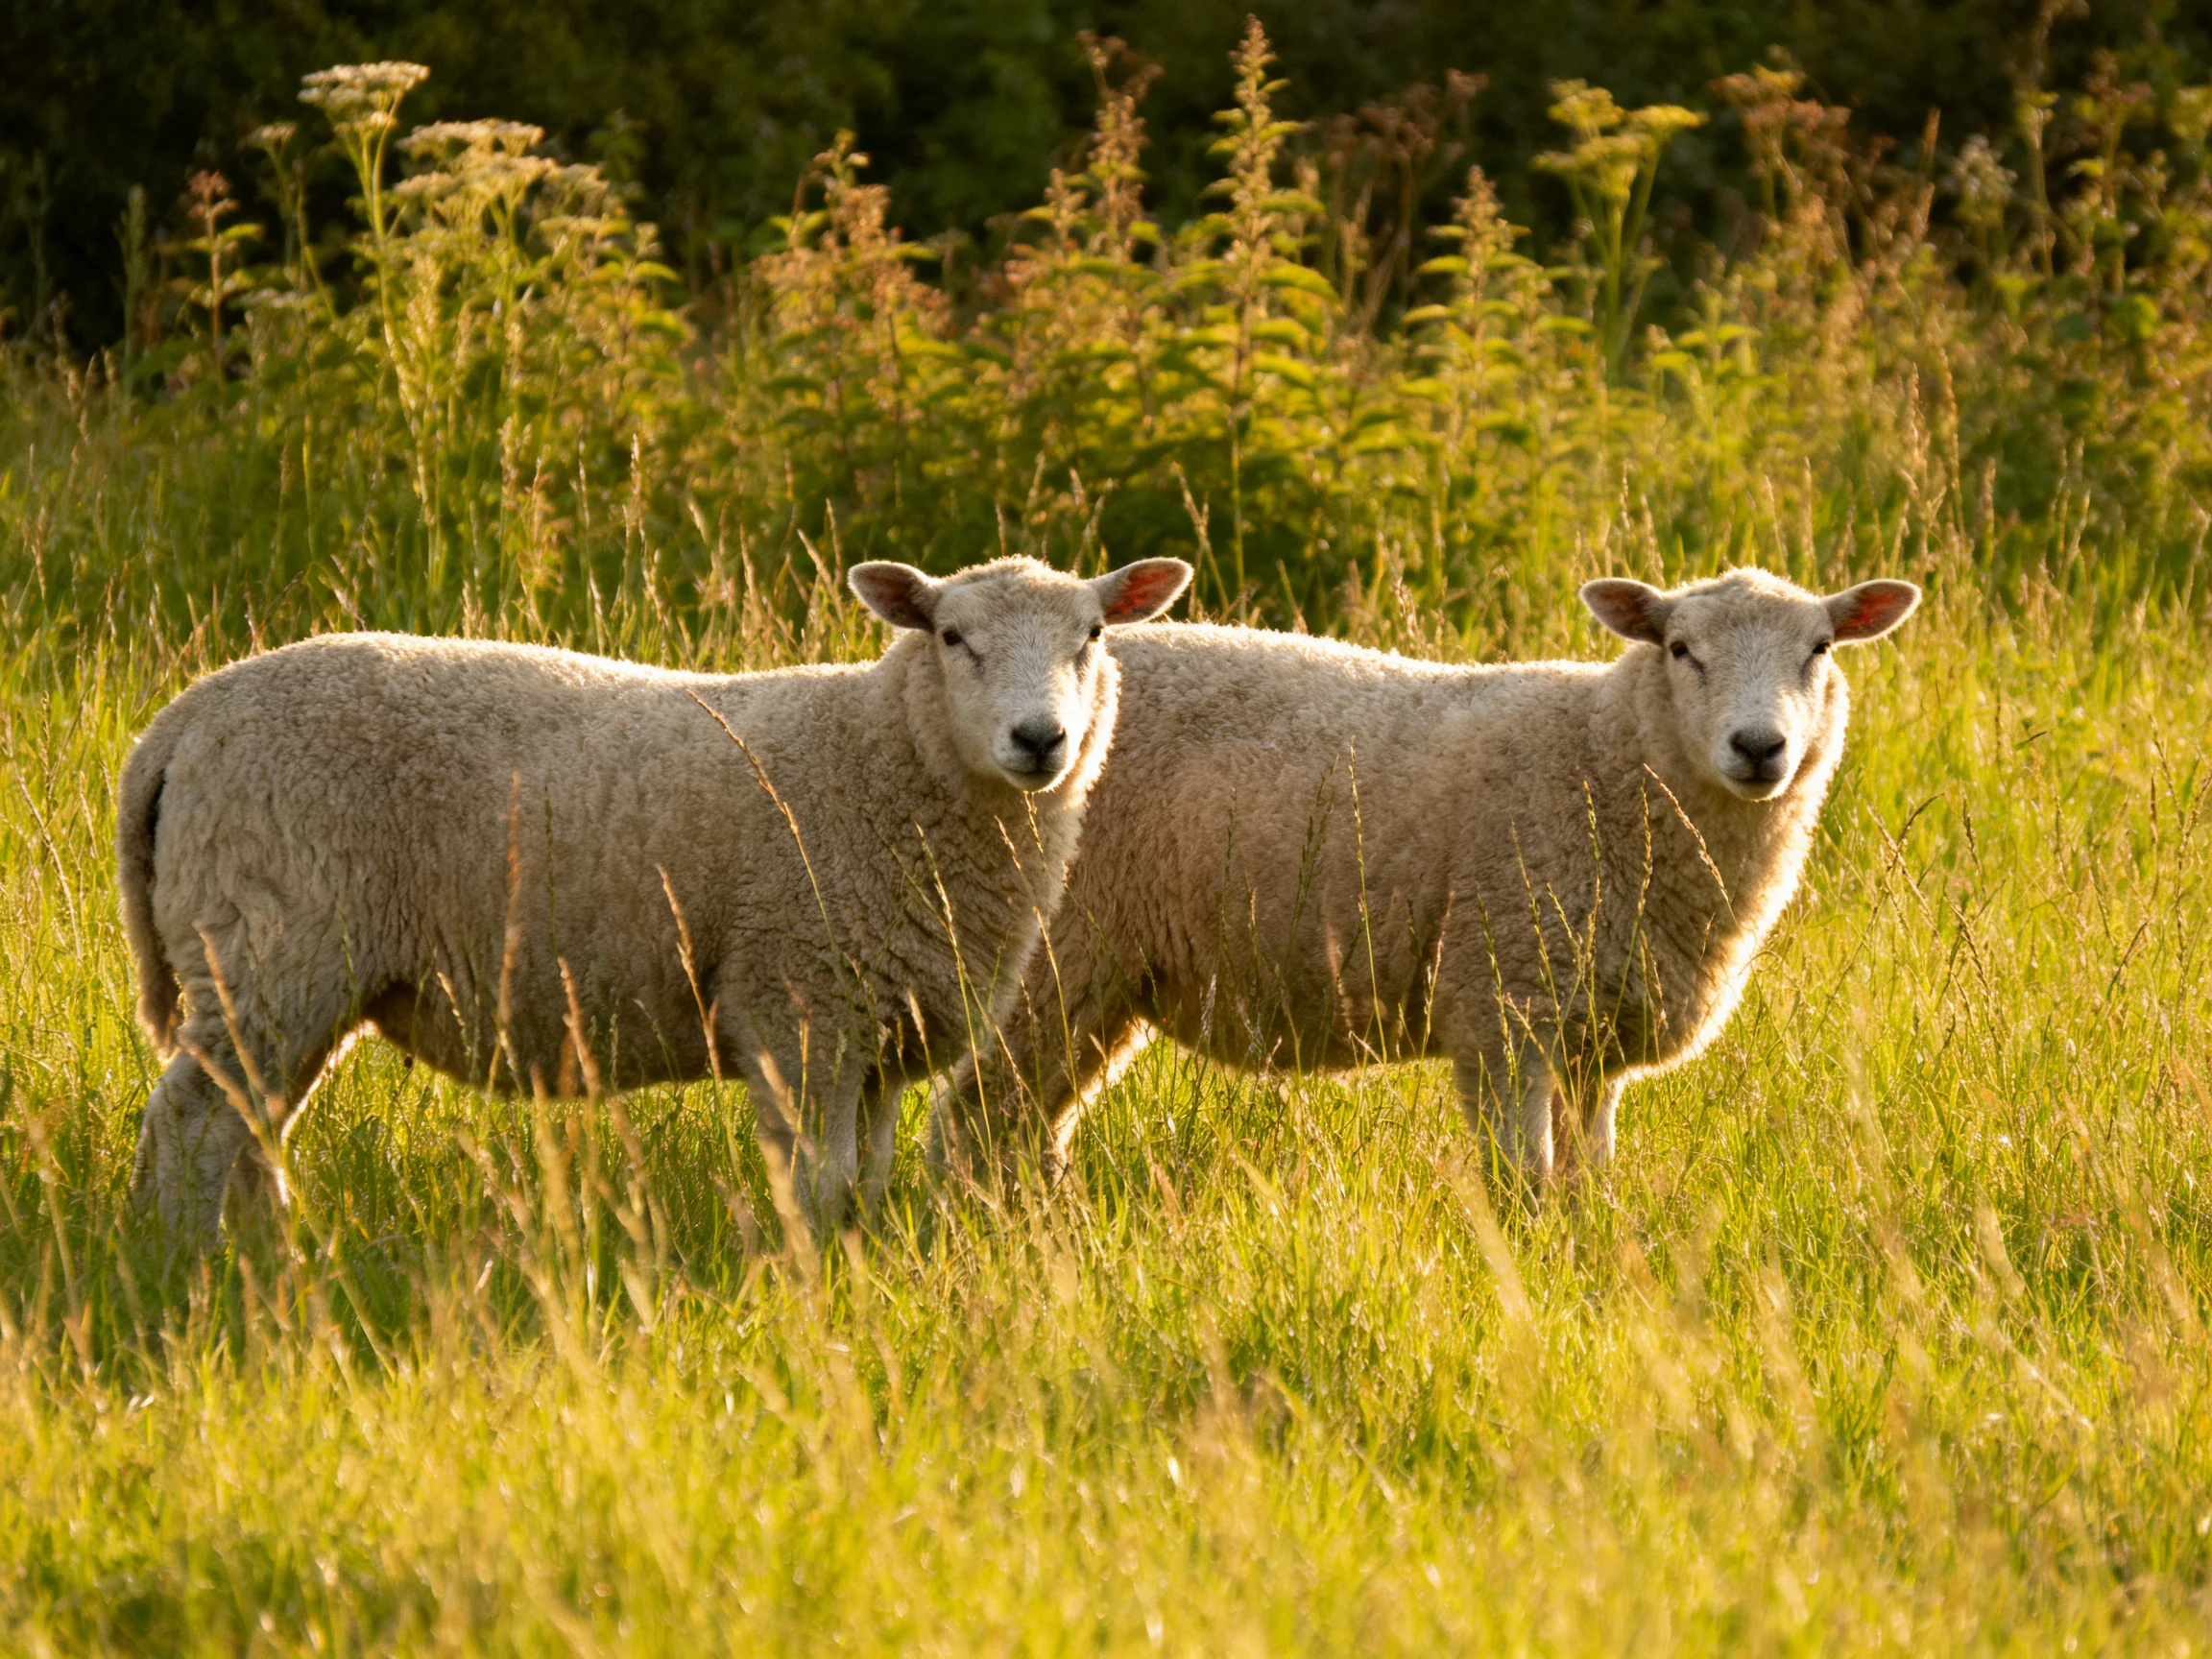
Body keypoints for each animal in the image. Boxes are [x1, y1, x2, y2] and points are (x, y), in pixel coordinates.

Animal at [117, 554, 1193, 1246]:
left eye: (1094, 636)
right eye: (951, 636)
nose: (1040, 740)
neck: (884, 756)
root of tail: (179, 724)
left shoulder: (880, 1030)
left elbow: (867, 1182)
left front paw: (862, 1266)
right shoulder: (799, 1001)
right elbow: (818, 1182)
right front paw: (812, 1282)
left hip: (289, 967)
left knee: (250, 1123)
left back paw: (267, 1252)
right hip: (273, 941)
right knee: (192, 1123)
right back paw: (187, 1264)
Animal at [937, 567, 1919, 1186]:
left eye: (1821, 649)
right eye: (1681, 649)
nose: (1760, 747)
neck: (1606, 756)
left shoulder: (1594, 1035)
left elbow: (1587, 1182)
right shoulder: (1504, 1002)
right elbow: (1523, 1182)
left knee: (1021, 1121)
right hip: (1051, 960)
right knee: (976, 1119)